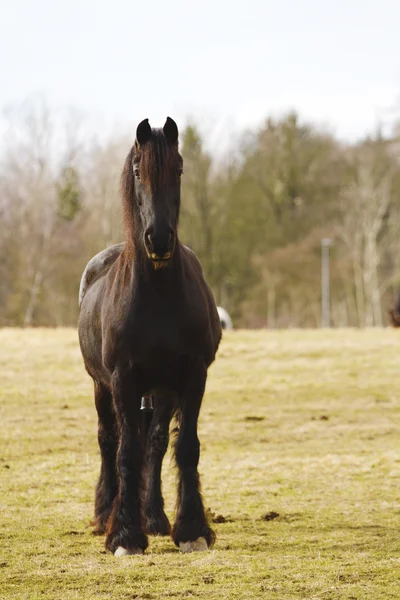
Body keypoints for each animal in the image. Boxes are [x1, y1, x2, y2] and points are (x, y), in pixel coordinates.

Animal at [78, 118, 222, 556]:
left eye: (179, 169)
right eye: (139, 170)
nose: (158, 239)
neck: (157, 293)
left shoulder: (192, 376)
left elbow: (185, 447)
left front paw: (190, 529)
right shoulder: (122, 379)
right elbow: (126, 452)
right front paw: (124, 535)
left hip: (161, 391)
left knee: (155, 445)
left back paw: (155, 517)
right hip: (102, 387)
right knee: (109, 440)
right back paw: (106, 513)